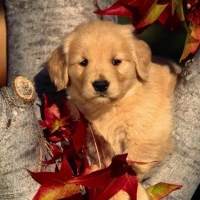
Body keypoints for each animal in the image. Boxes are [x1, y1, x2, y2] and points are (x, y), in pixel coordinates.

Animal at [47, 19, 181, 198]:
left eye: (116, 61)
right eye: (83, 62)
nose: (100, 85)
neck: (110, 107)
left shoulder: (148, 133)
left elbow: (128, 166)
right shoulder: (95, 141)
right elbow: (107, 168)